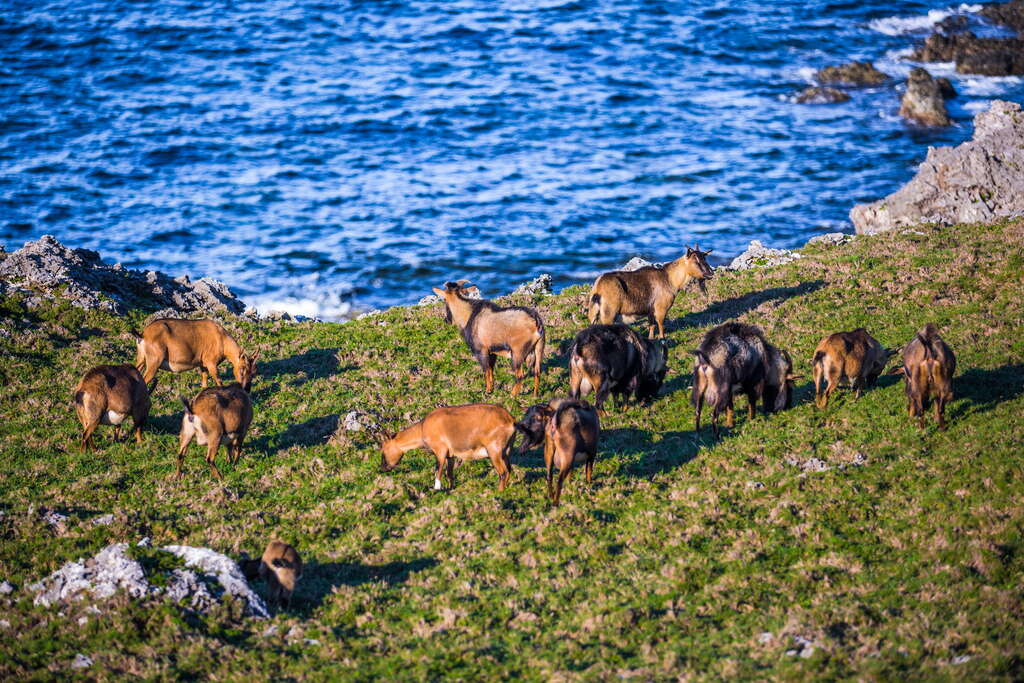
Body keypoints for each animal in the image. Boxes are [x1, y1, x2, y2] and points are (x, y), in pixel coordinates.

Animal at [376, 403, 520, 493]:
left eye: (383, 451)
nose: (382, 469)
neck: (422, 428)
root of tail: (510, 420)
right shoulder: (451, 455)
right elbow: (449, 474)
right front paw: (451, 489)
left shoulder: (440, 451)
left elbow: (438, 471)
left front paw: (436, 489)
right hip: (505, 452)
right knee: (508, 470)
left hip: (494, 451)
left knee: (503, 472)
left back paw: (498, 492)